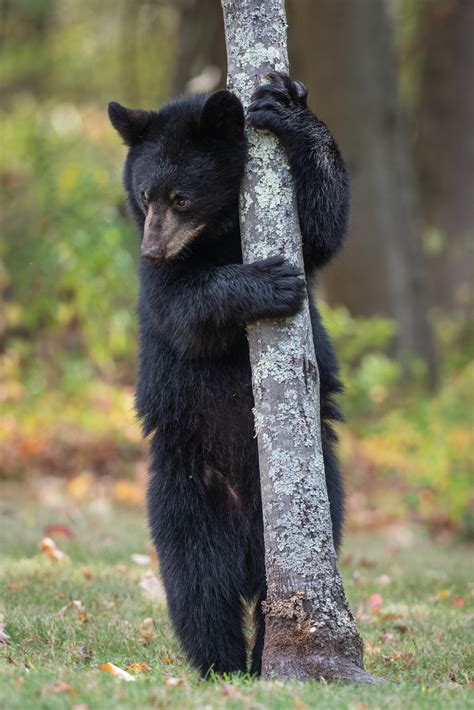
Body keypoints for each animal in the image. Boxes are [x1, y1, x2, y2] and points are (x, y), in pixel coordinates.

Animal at [109, 72, 350, 680]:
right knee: (199, 589)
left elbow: (323, 228)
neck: (216, 234)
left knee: (274, 593)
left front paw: (286, 103)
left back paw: (266, 657)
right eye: (145, 196)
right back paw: (222, 666)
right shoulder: (158, 288)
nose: (150, 249)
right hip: (187, 495)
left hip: (317, 502)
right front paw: (267, 283)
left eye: (181, 197)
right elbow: (186, 308)